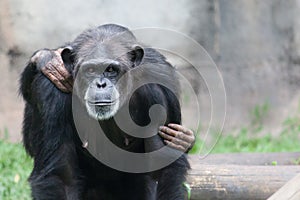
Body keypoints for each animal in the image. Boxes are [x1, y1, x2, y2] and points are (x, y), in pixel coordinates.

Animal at [19, 23, 191, 200]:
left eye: (111, 70)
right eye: (90, 70)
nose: (101, 84)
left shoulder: (155, 94)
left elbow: (158, 171)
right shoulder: (52, 91)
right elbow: (62, 177)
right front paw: (48, 59)